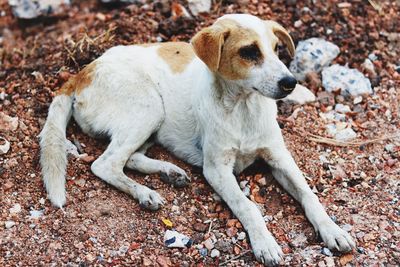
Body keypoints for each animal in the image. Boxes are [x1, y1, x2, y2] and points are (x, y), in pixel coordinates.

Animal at [39, 14, 354, 266]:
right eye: (249, 51)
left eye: (277, 49)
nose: (290, 83)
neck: (243, 108)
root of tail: (82, 72)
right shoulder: (217, 170)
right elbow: (247, 207)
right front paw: (265, 243)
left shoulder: (279, 157)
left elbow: (309, 195)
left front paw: (334, 230)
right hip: (148, 107)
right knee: (106, 164)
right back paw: (146, 193)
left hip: (153, 121)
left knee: (130, 157)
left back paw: (170, 172)